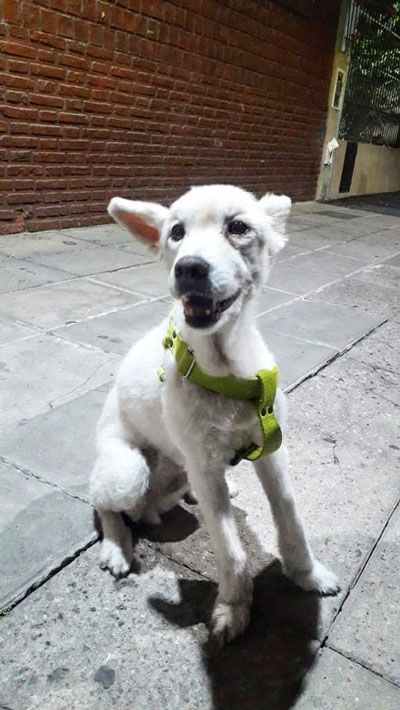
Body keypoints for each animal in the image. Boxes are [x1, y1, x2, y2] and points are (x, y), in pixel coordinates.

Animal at [90, 184, 338, 644]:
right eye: (176, 232)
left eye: (238, 227)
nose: (189, 268)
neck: (225, 369)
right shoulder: (205, 466)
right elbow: (230, 551)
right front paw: (233, 608)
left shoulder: (273, 452)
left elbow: (292, 522)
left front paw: (307, 574)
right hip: (128, 471)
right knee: (105, 503)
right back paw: (117, 546)